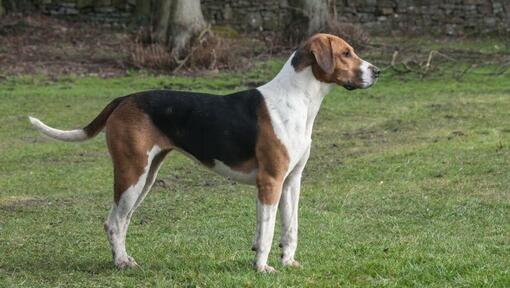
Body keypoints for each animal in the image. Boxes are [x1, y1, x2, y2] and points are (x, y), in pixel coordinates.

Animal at [27, 33, 378, 272]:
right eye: (346, 53)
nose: (377, 71)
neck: (298, 100)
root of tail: (125, 98)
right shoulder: (270, 181)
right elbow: (266, 231)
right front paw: (262, 267)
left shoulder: (292, 181)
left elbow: (289, 229)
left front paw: (288, 262)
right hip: (132, 173)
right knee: (113, 221)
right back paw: (121, 263)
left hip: (145, 177)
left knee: (122, 220)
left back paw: (124, 258)